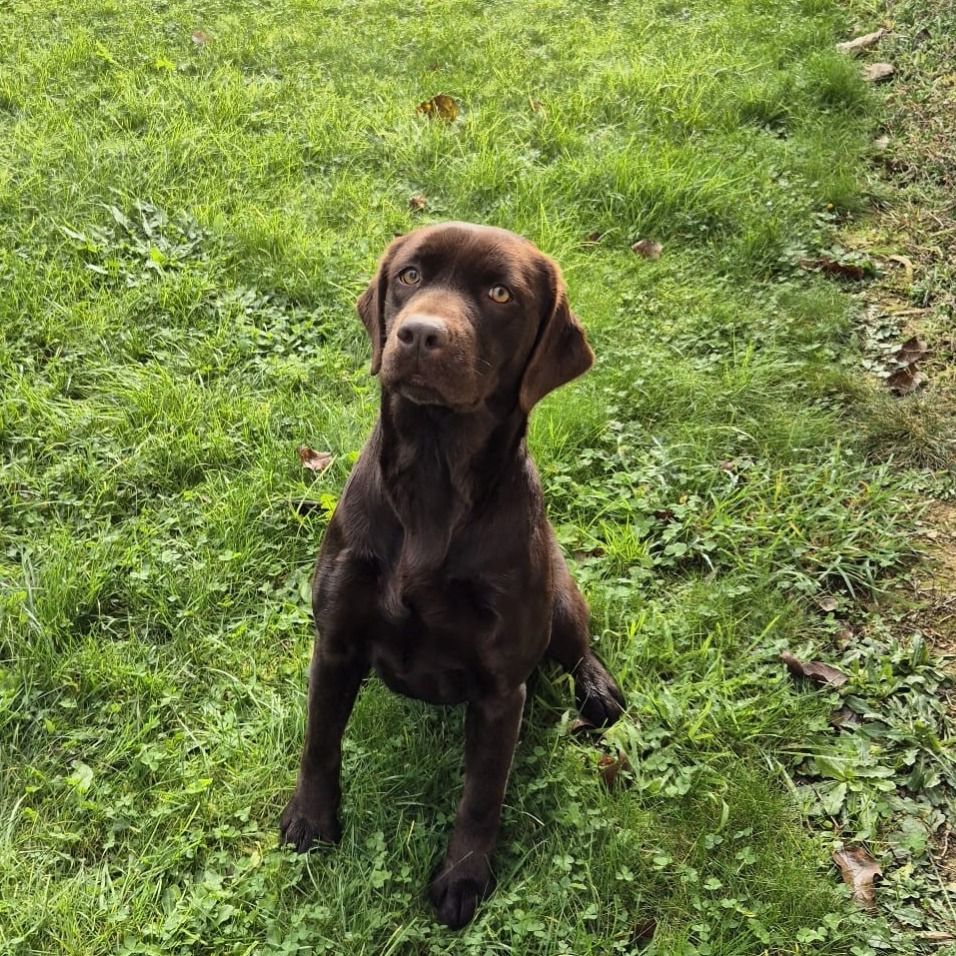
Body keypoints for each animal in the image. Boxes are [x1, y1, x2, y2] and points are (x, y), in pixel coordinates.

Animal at [282, 222, 628, 928]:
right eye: (410, 276)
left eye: (500, 294)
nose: (419, 335)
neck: (434, 481)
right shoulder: (335, 644)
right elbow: (319, 742)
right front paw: (310, 821)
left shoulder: (501, 692)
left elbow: (481, 795)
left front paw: (463, 879)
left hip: (559, 600)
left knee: (579, 648)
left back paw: (598, 688)